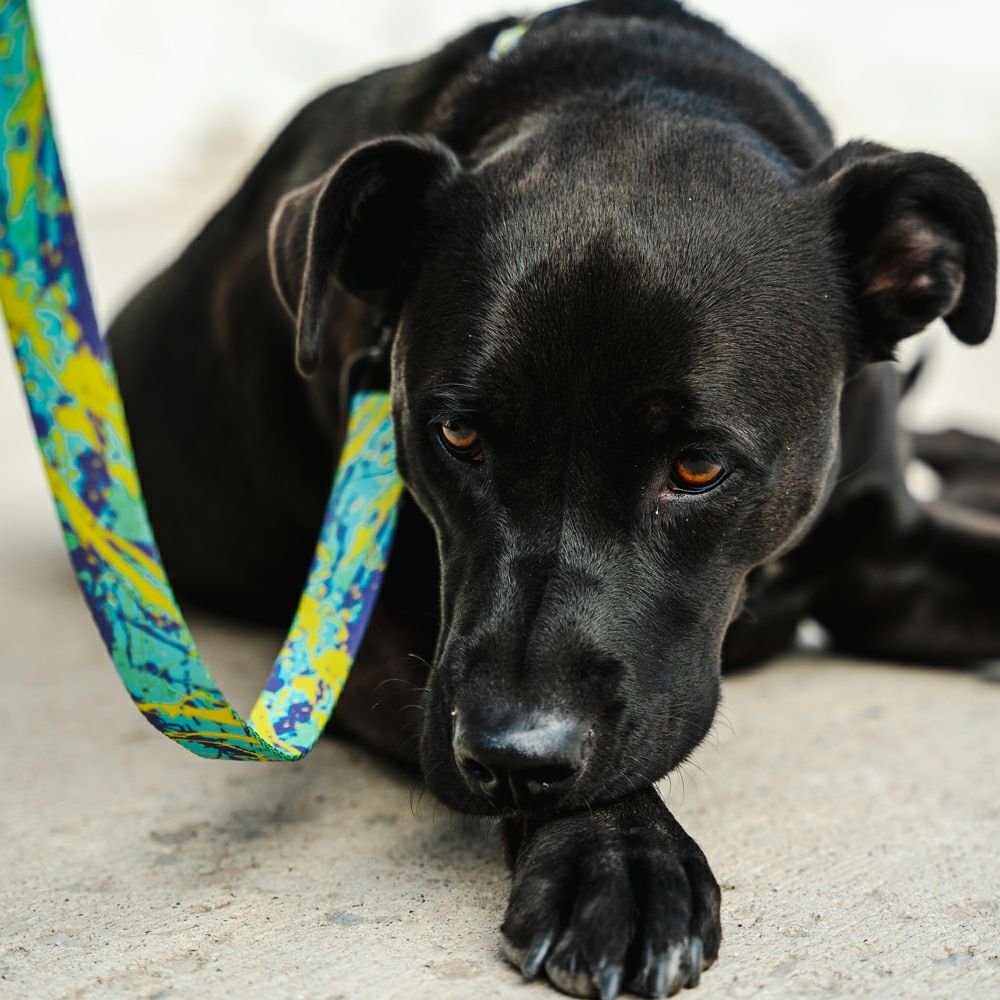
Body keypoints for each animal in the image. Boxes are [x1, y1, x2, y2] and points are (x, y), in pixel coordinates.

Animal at [107, 2, 999, 996]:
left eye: (698, 467)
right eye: (458, 435)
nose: (511, 758)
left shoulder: (881, 555)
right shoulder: (371, 634)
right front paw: (619, 858)